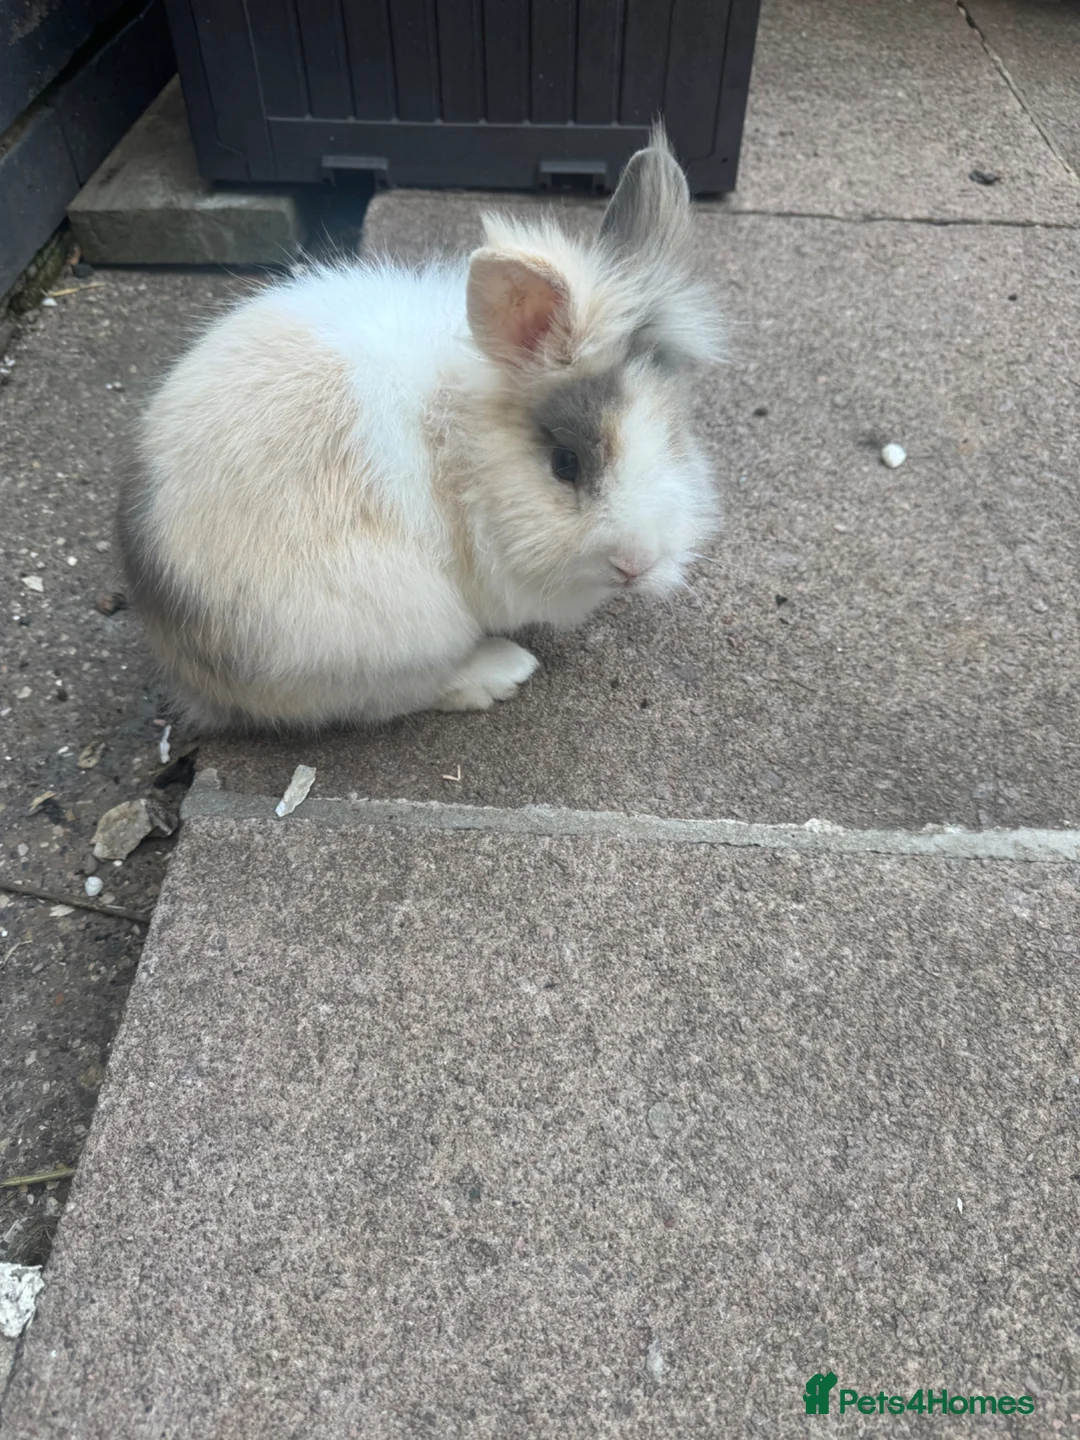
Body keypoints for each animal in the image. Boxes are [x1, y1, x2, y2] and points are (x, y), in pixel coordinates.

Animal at [119, 125, 724, 731]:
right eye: (565, 464)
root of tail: (184, 655)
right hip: (387, 631)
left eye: (675, 438)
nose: (637, 563)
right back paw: (503, 671)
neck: (456, 446)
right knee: (390, 694)